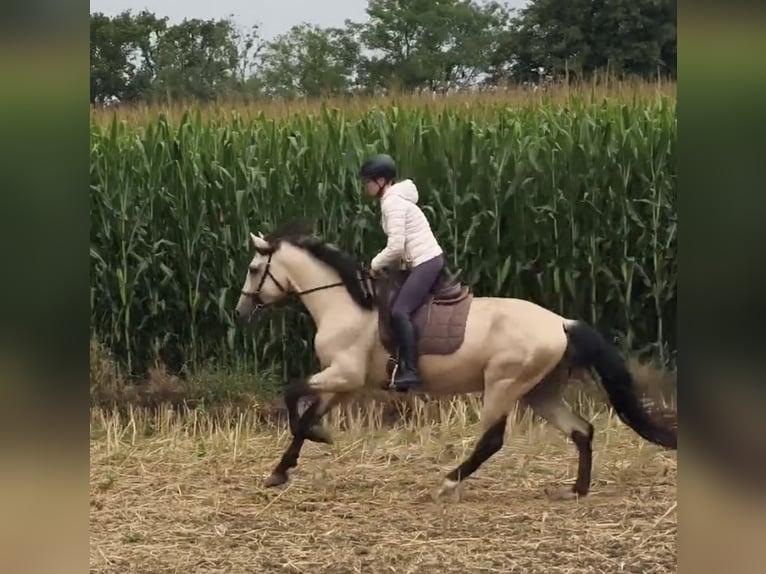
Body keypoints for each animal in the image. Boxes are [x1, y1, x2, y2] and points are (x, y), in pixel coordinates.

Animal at [234, 220, 677, 499]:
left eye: (254, 269)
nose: (241, 311)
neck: (346, 304)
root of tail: (562, 323)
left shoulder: (342, 374)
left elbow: (293, 395)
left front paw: (315, 440)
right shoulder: (343, 382)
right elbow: (307, 412)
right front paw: (282, 469)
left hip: (503, 386)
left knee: (494, 440)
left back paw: (448, 483)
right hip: (540, 392)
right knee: (582, 430)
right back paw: (578, 490)